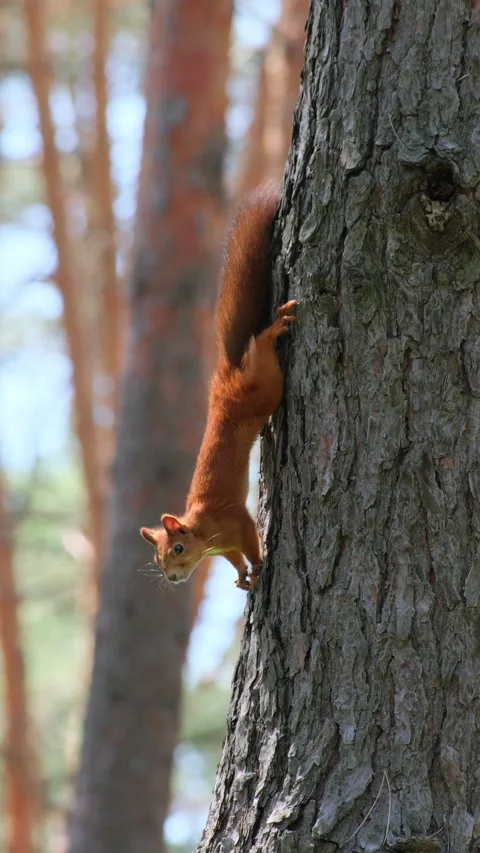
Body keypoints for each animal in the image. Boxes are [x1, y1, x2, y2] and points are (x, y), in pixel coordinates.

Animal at [140, 184, 297, 591]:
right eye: (157, 558)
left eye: (177, 549)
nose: (173, 579)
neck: (202, 528)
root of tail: (227, 374)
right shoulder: (223, 547)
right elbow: (233, 559)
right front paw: (243, 576)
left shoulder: (236, 523)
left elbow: (250, 544)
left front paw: (258, 566)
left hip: (265, 387)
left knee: (261, 347)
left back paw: (273, 330)